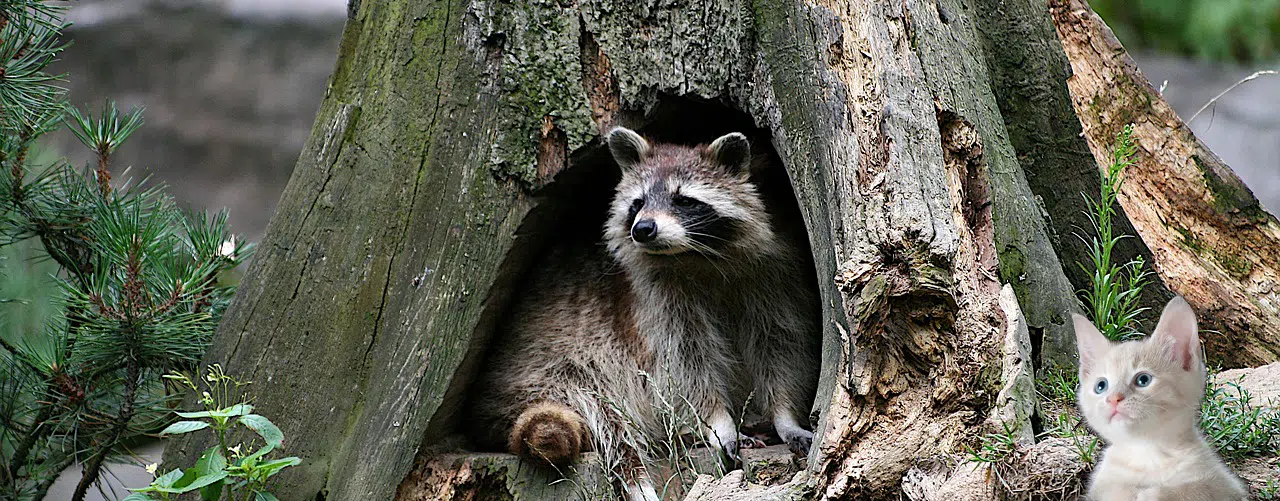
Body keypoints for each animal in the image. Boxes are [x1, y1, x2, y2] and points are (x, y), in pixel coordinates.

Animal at [1075, 295, 1244, 499]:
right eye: (1101, 386)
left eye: (1143, 380)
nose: (1113, 398)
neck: (1146, 454)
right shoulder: (1101, 486)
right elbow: (1115, 490)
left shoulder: (1227, 487)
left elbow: (1194, 489)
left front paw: (1152, 493)